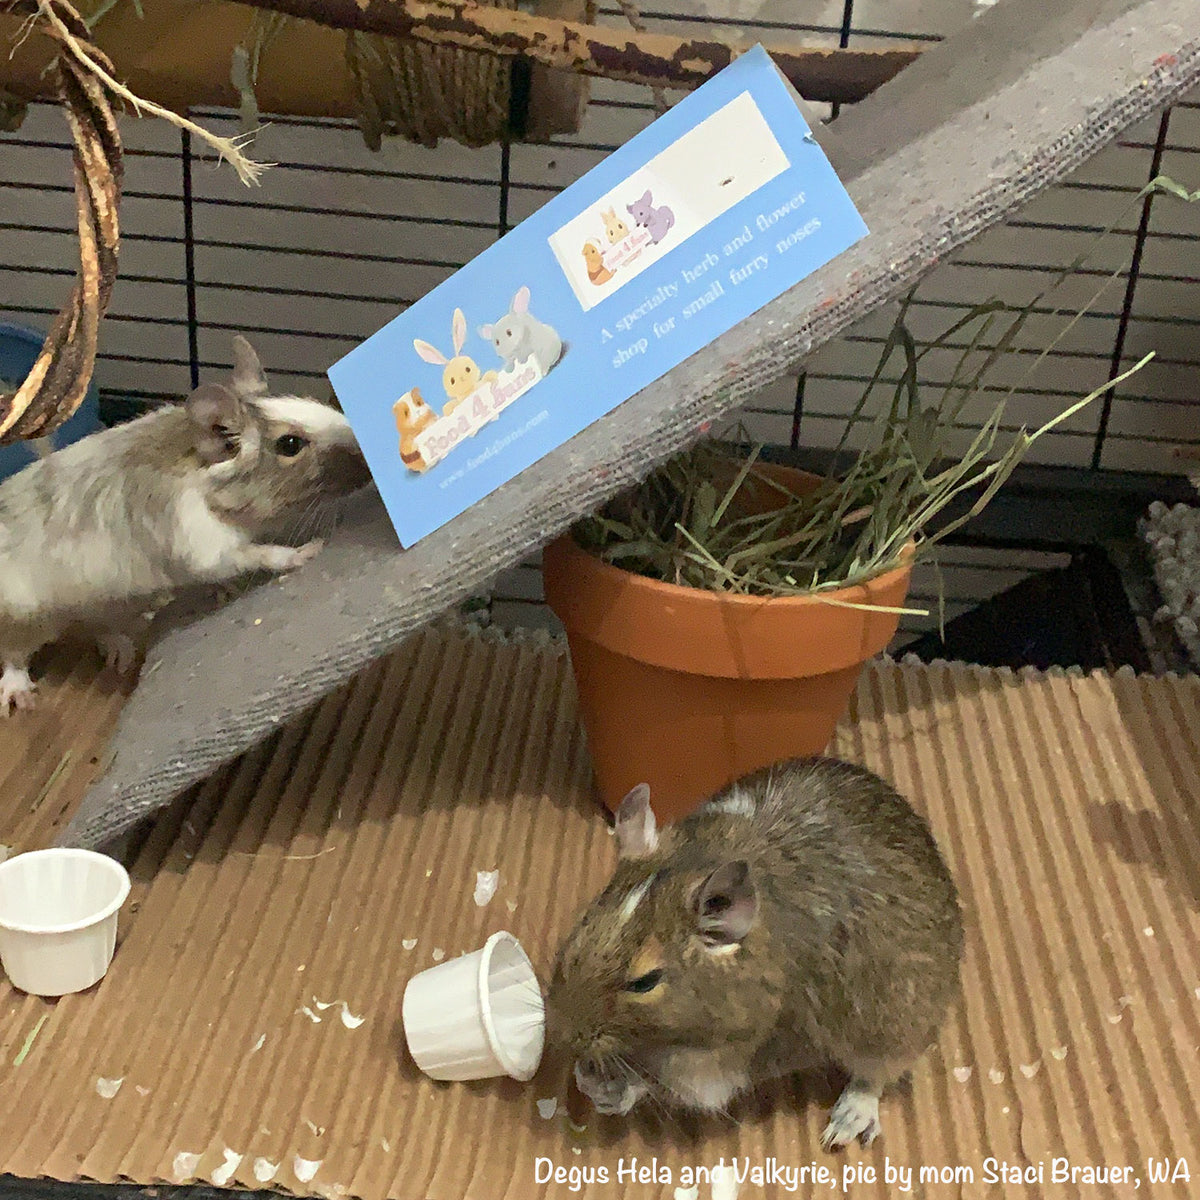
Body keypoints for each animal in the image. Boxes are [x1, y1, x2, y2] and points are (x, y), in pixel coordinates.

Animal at [0, 334, 372, 715]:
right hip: (27, 618)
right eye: (291, 444)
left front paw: (224, 589)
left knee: (96, 626)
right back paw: (19, 691)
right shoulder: (206, 545)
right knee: (13, 654)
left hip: (109, 604)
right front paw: (305, 552)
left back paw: (118, 646)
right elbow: (261, 554)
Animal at [545, 756, 964, 1152]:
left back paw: (846, 1122)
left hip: (897, 1030)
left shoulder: (738, 1055)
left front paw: (605, 1087)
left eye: (644, 982)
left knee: (876, 1075)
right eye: (581, 927)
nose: (561, 1037)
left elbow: (666, 1086)